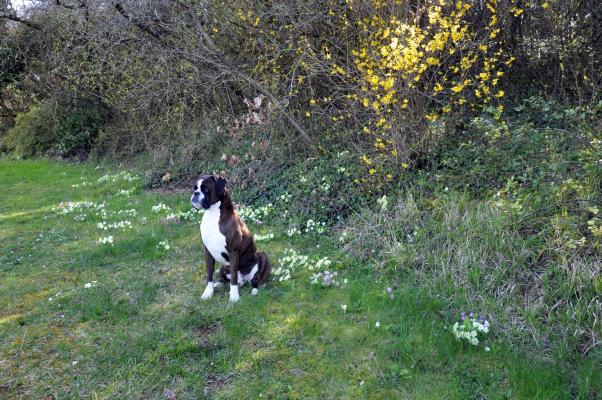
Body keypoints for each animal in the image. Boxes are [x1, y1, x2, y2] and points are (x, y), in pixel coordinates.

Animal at [190, 173, 270, 302]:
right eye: (194, 188)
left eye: (205, 189)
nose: (195, 193)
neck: (213, 214)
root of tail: (244, 280)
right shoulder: (208, 252)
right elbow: (209, 275)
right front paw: (208, 292)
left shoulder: (233, 251)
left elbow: (233, 277)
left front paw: (234, 296)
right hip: (223, 266)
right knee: (226, 278)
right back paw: (219, 284)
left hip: (262, 256)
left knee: (255, 280)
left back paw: (254, 289)